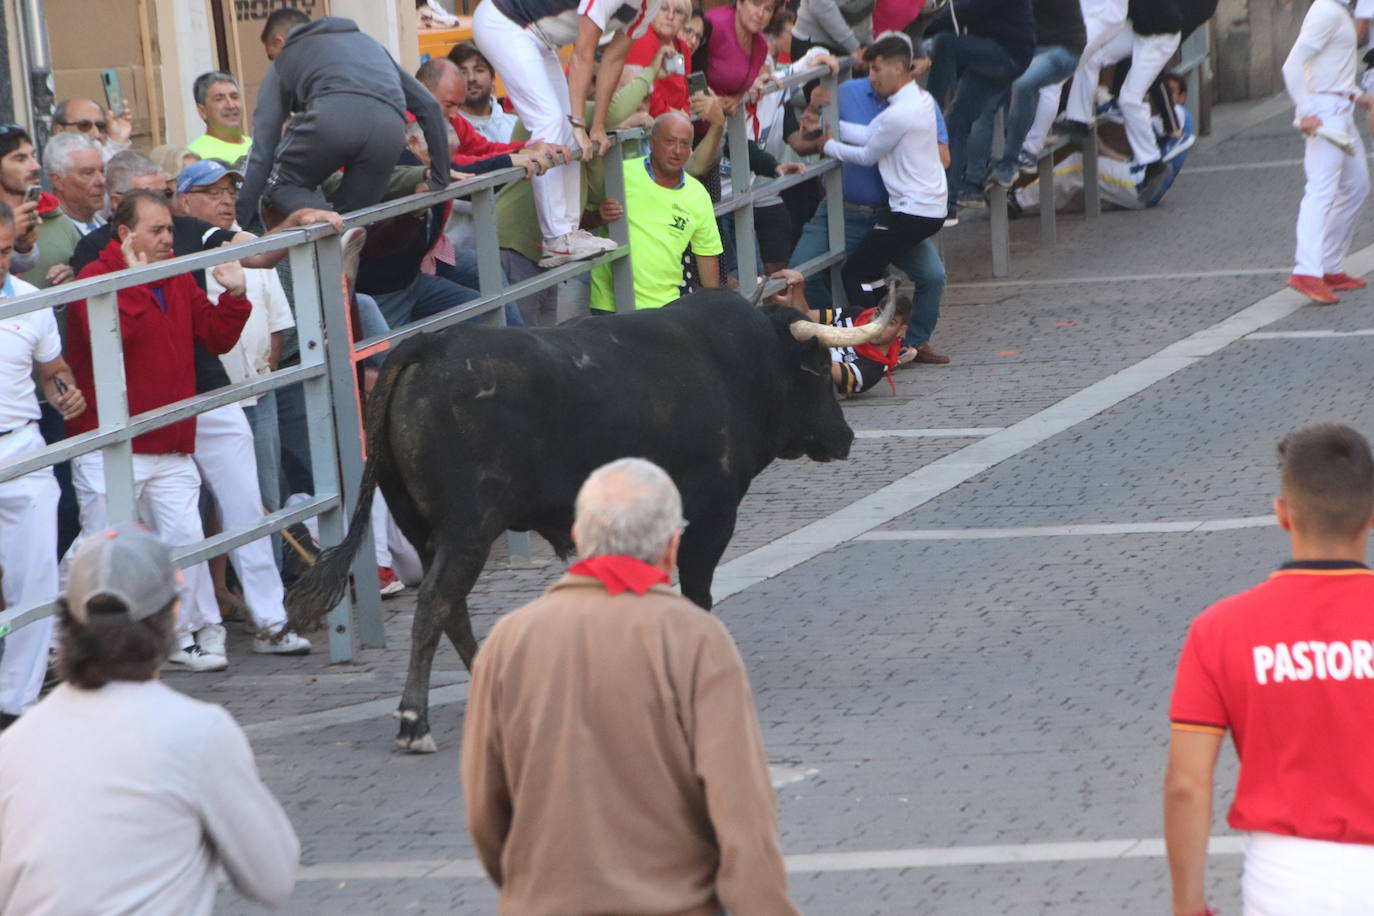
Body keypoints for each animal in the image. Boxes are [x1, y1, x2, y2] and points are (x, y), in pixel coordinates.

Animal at [284, 292, 895, 752]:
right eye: (816, 374)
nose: (843, 436)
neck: (740, 364)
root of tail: (432, 343)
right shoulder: (712, 514)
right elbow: (696, 592)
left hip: (424, 526)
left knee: (451, 606)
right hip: (470, 526)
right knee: (436, 601)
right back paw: (415, 722)